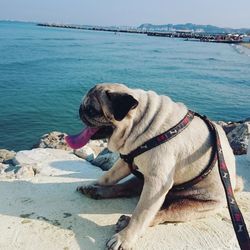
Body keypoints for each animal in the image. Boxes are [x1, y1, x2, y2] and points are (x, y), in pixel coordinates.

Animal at [73, 83, 242, 249]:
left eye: (92, 110)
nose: (80, 111)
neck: (141, 122)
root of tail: (232, 186)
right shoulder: (126, 162)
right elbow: (108, 176)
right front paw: (94, 184)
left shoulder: (157, 183)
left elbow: (141, 215)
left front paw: (125, 238)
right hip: (141, 180)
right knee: (123, 188)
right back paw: (95, 191)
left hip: (192, 206)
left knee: (161, 213)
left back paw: (125, 222)